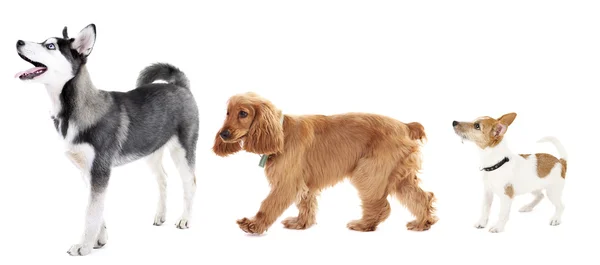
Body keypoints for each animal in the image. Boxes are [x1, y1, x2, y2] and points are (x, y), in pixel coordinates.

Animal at [15, 23, 199, 255]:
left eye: (50, 46)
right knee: (163, 179)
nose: (18, 41)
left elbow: (91, 213)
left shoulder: (100, 171)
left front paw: (83, 246)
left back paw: (185, 219)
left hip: (182, 151)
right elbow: (96, 210)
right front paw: (99, 240)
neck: (73, 110)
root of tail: (179, 85)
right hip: (151, 149)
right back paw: (160, 215)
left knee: (190, 182)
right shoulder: (88, 172)